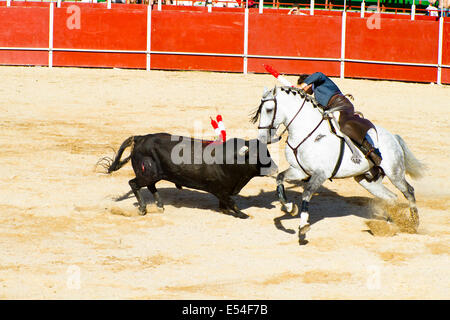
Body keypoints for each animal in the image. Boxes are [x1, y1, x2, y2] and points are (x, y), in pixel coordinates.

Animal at [102, 132, 278, 218]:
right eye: (257, 155)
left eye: (267, 152)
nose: (275, 169)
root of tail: (140, 138)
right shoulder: (220, 189)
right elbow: (232, 202)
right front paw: (243, 214)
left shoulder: (224, 190)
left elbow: (225, 204)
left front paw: (226, 211)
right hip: (148, 174)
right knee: (134, 183)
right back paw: (143, 209)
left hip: (153, 174)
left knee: (151, 186)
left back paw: (159, 206)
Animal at [253, 86, 426, 236]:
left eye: (269, 109)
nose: (262, 138)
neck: (307, 133)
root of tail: (393, 137)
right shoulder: (299, 171)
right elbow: (280, 178)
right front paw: (289, 207)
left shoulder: (320, 174)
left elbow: (306, 193)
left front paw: (303, 225)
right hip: (367, 181)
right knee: (391, 197)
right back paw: (388, 224)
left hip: (395, 172)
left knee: (409, 191)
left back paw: (413, 224)